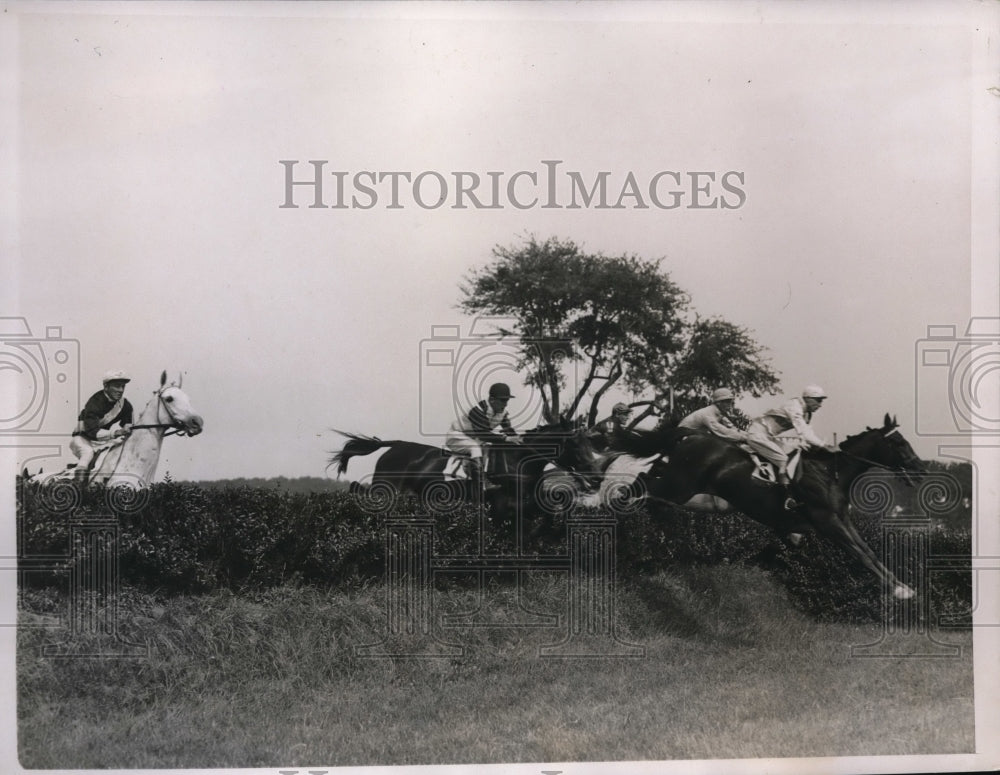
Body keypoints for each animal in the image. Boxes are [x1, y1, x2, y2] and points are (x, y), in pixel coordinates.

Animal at [620, 412, 924, 600]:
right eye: (898, 442)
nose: (921, 469)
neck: (830, 473)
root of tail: (690, 435)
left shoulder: (842, 520)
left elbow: (868, 551)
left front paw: (903, 587)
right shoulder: (827, 522)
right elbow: (861, 555)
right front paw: (900, 591)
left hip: (683, 487)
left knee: (648, 479)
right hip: (680, 485)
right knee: (645, 485)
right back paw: (620, 506)